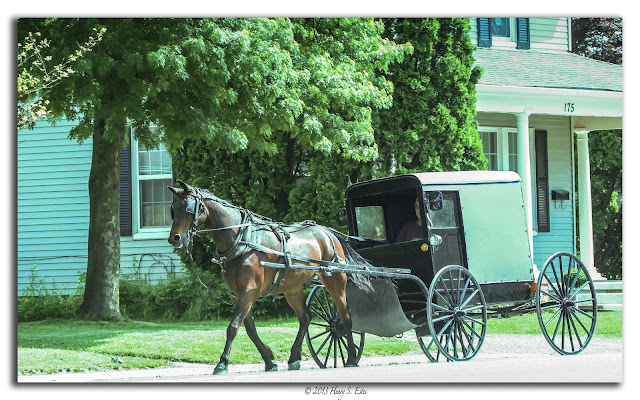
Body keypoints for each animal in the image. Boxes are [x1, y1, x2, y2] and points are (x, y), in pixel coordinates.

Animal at [168, 180, 372, 374]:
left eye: (188, 208)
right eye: (173, 209)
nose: (174, 239)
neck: (242, 239)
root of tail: (328, 233)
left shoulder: (250, 290)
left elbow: (233, 327)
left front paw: (222, 363)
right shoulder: (236, 294)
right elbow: (250, 329)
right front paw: (269, 360)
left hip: (335, 279)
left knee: (345, 316)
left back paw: (351, 357)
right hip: (293, 289)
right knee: (305, 317)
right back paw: (294, 358)